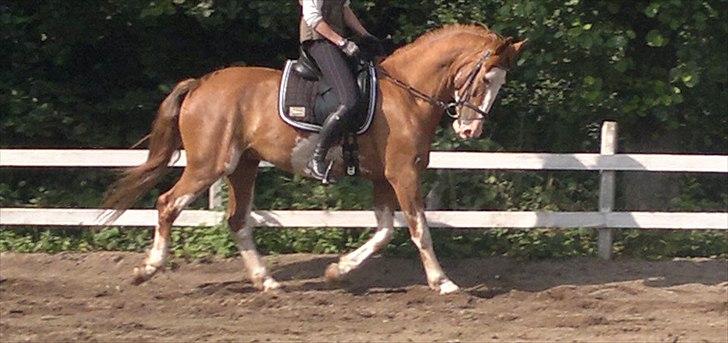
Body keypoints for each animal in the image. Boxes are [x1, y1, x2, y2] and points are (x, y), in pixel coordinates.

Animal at [101, 24, 524, 296]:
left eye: (501, 83)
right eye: (485, 79)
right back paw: (148, 269)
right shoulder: (403, 175)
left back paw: (267, 281)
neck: (408, 96)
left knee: (236, 220)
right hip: (210, 165)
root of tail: (201, 83)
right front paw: (443, 282)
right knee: (167, 204)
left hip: (244, 165)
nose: (470, 131)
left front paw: (337, 271)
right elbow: (419, 229)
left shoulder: (383, 178)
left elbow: (385, 232)